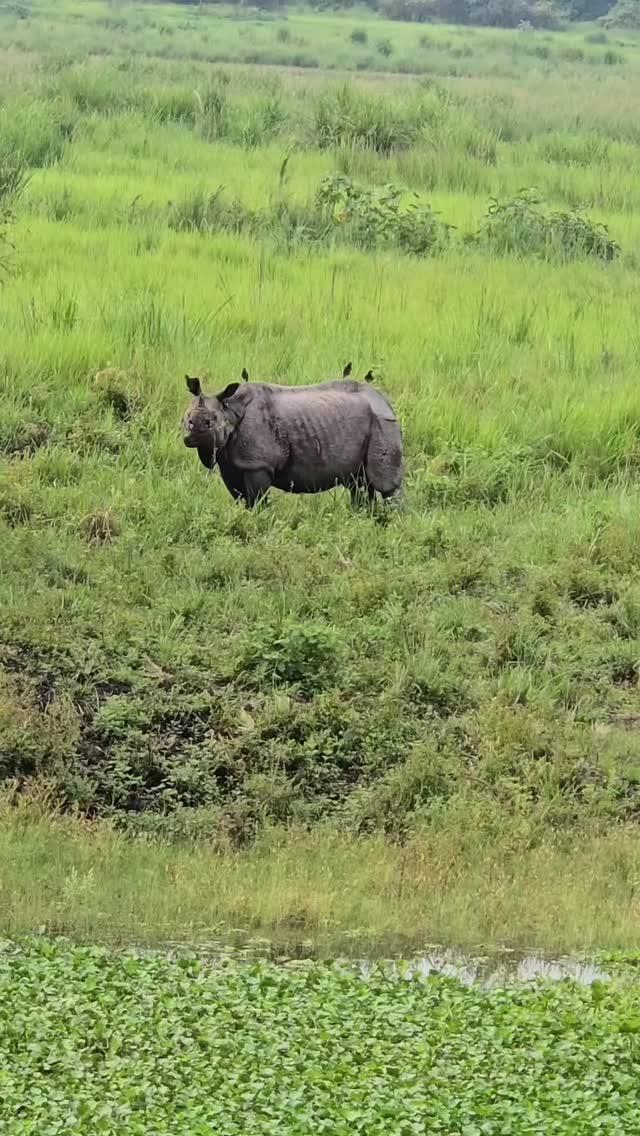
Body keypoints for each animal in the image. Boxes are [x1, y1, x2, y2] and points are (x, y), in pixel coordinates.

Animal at [183, 370, 402, 508]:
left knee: (387, 485)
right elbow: (242, 497)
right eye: (186, 418)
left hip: (383, 422)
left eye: (212, 420)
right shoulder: (230, 462)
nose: (196, 432)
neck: (230, 409)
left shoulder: (258, 464)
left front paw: (259, 523)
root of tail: (385, 400)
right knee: (360, 483)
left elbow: (257, 499)